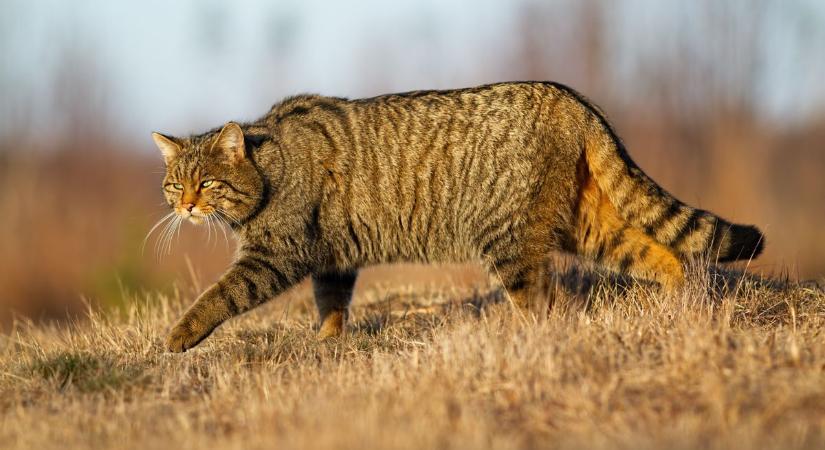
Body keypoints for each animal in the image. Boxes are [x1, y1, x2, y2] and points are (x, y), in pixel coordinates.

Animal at [151, 81, 764, 352]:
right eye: (174, 183)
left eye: (207, 182)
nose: (185, 206)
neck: (269, 166)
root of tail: (572, 97)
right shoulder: (333, 257)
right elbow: (331, 305)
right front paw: (328, 343)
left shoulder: (276, 255)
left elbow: (220, 295)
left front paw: (180, 334)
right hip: (590, 225)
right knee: (662, 253)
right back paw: (683, 303)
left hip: (510, 242)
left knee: (541, 303)